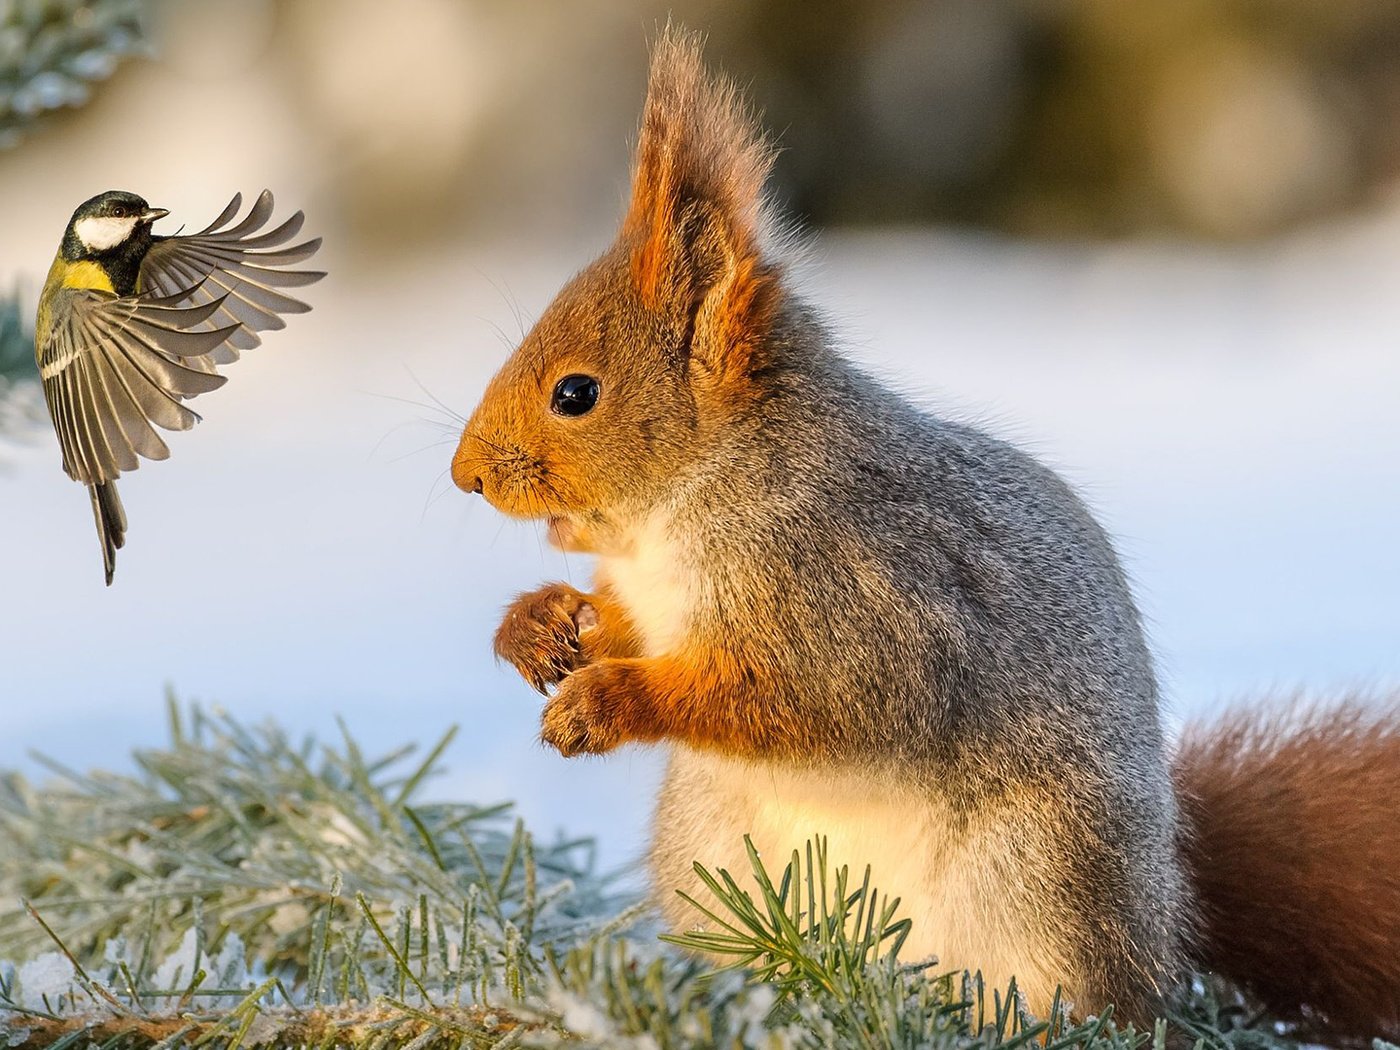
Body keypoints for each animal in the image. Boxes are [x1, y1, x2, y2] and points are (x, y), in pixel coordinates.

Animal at [450, 28, 1400, 1041]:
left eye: (576, 393)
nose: (466, 475)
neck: (686, 512)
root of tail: (1168, 915)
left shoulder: (861, 596)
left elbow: (802, 698)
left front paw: (607, 701)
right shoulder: (655, 596)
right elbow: (621, 624)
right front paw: (542, 624)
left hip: (1039, 878)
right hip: (712, 849)